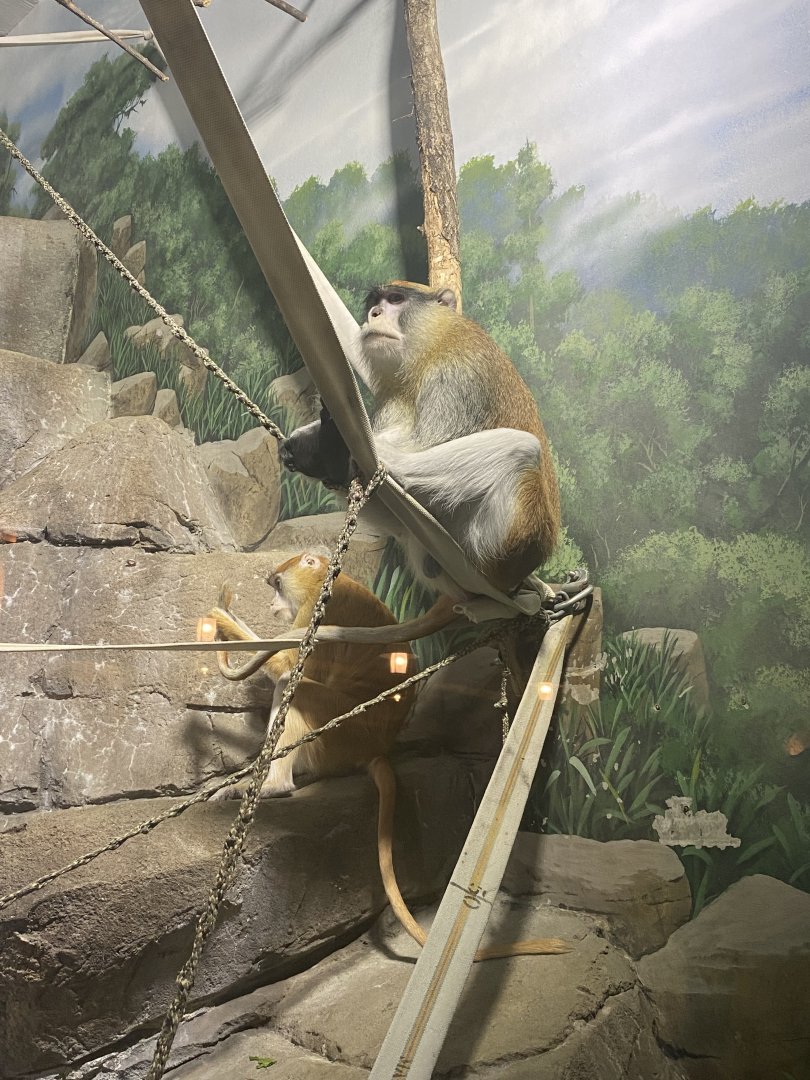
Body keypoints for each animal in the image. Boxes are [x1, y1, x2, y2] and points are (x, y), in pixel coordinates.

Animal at [205, 551, 567, 960]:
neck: (330, 578)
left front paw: (220, 618)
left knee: (296, 688)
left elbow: (288, 667)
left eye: (278, 584)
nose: (272, 604)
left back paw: (273, 785)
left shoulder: (320, 611)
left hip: (343, 731)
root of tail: (376, 748)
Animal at [279, 282, 561, 604]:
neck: (432, 342)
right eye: (375, 302)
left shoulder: (456, 374)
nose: (374, 314)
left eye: (396, 299)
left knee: (522, 450)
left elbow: (426, 444)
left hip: (504, 542)